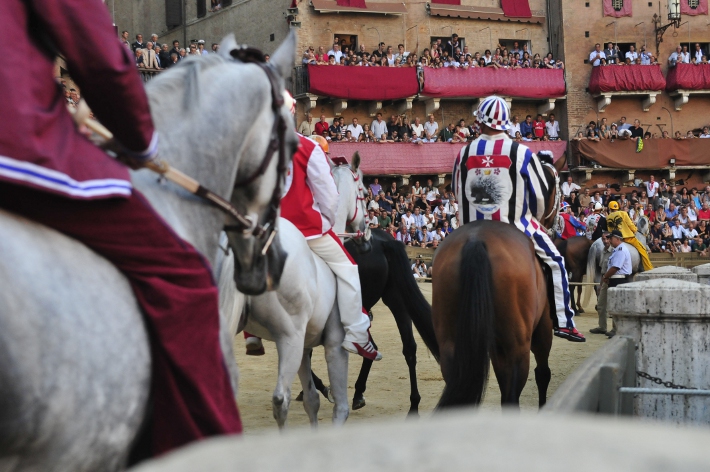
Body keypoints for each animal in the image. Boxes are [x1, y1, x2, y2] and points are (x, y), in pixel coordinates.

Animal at [238, 153, 372, 426]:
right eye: (364, 192)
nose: (366, 238)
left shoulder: (304, 348)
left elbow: (312, 400)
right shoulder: (334, 344)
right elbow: (340, 407)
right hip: (289, 337)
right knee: (281, 399)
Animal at [434, 160, 560, 408]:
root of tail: (476, 241)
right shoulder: (543, 327)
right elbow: (543, 373)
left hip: (451, 343)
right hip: (517, 345)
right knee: (512, 395)